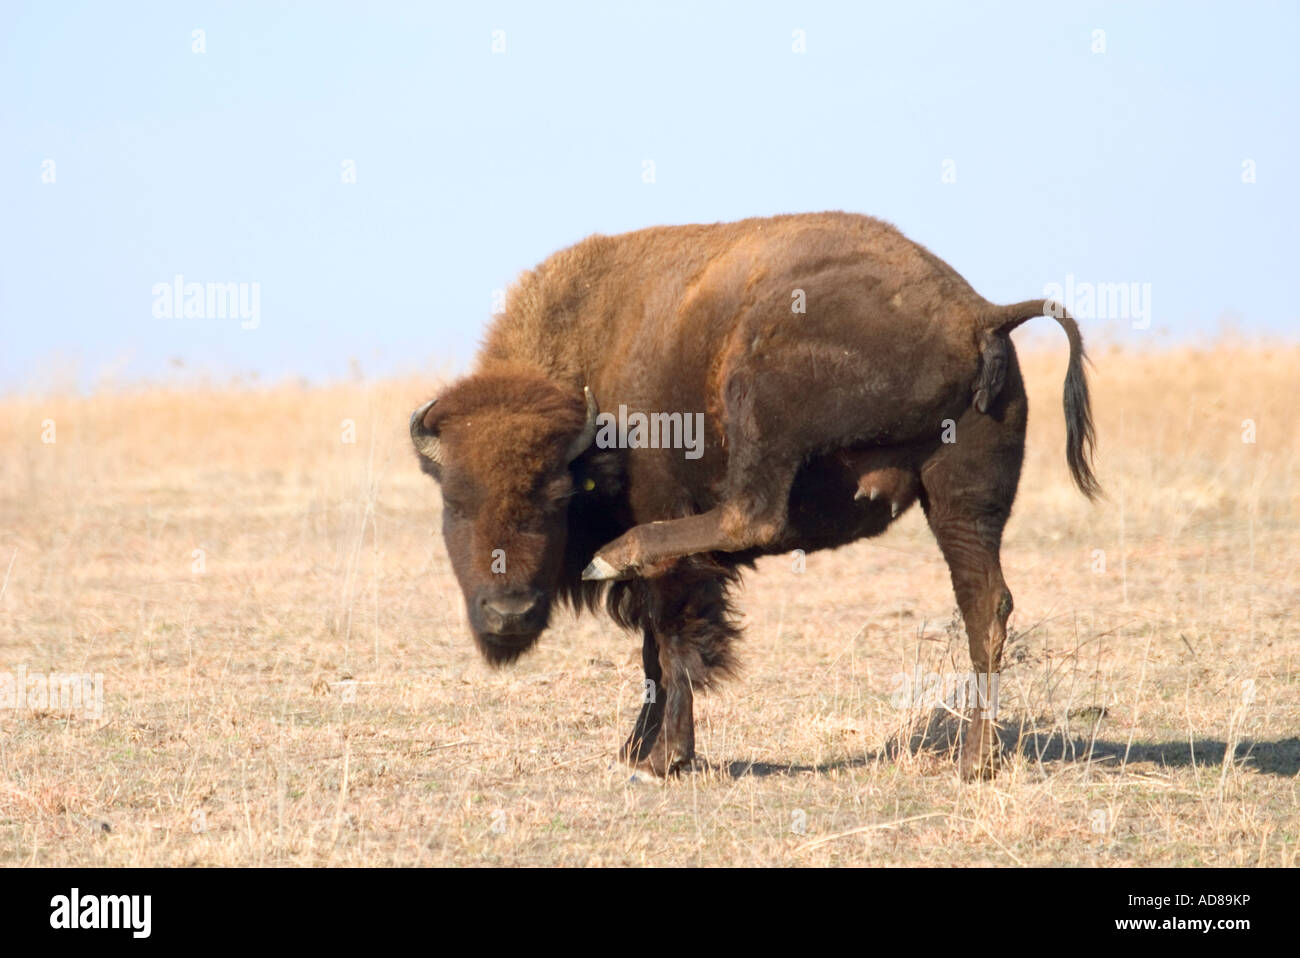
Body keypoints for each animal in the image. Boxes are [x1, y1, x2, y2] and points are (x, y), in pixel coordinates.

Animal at [411, 211, 1098, 780]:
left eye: (556, 496)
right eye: (455, 503)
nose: (508, 613)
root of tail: (976, 312)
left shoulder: (666, 528)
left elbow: (672, 645)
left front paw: (662, 760)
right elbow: (655, 654)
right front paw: (638, 750)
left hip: (760, 393)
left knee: (754, 514)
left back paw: (617, 554)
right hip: (962, 497)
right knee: (986, 605)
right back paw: (976, 762)